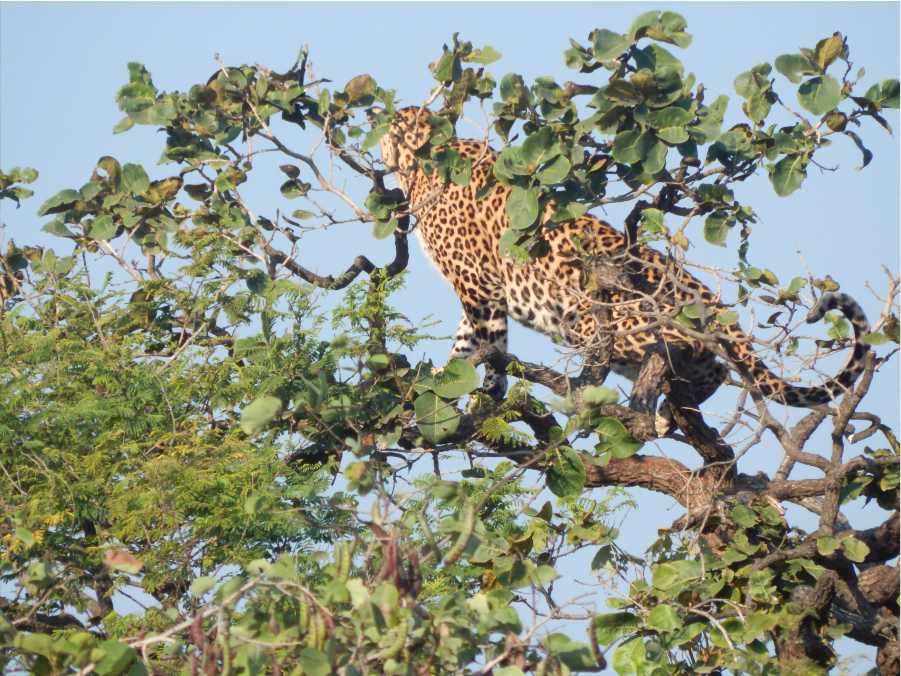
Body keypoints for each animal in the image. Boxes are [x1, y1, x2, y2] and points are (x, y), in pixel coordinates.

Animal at [376, 105, 868, 434]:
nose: (379, 143)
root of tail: (705, 297)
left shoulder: (478, 282)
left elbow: (491, 345)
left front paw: (487, 396)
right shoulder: (479, 290)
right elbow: (464, 343)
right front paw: (440, 382)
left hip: (600, 323)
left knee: (694, 363)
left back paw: (656, 410)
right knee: (711, 370)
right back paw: (670, 415)